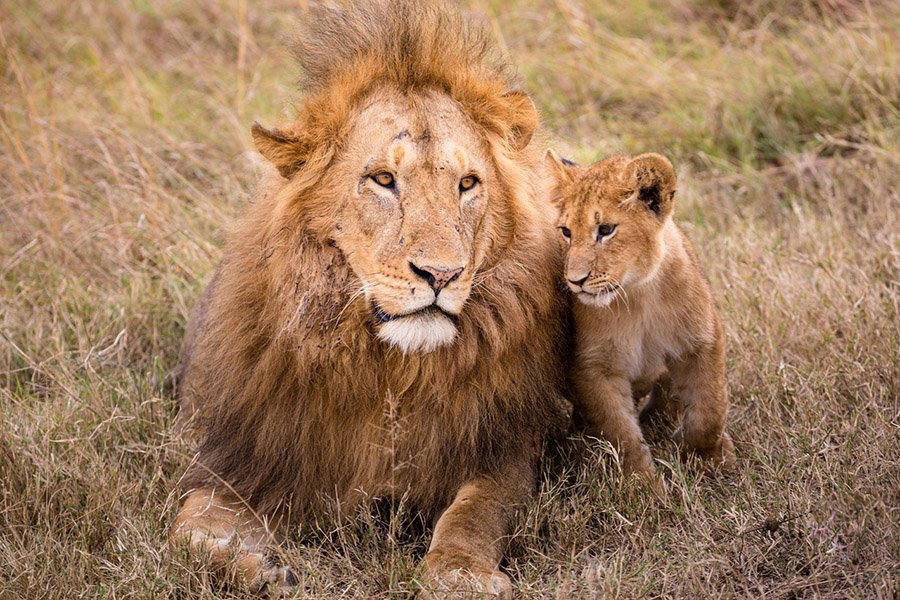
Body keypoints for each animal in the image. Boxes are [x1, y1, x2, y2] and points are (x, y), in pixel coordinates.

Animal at [168, 1, 569, 596]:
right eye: (383, 179)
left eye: (468, 184)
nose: (441, 274)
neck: (391, 373)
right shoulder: (248, 458)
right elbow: (186, 533)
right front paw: (265, 571)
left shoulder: (504, 447)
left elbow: (474, 513)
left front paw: (461, 574)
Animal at [545, 151, 735, 488]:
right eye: (566, 232)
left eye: (606, 229)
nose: (575, 281)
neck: (637, 294)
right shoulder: (593, 367)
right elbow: (621, 433)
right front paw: (644, 486)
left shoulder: (703, 341)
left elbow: (710, 409)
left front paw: (710, 458)